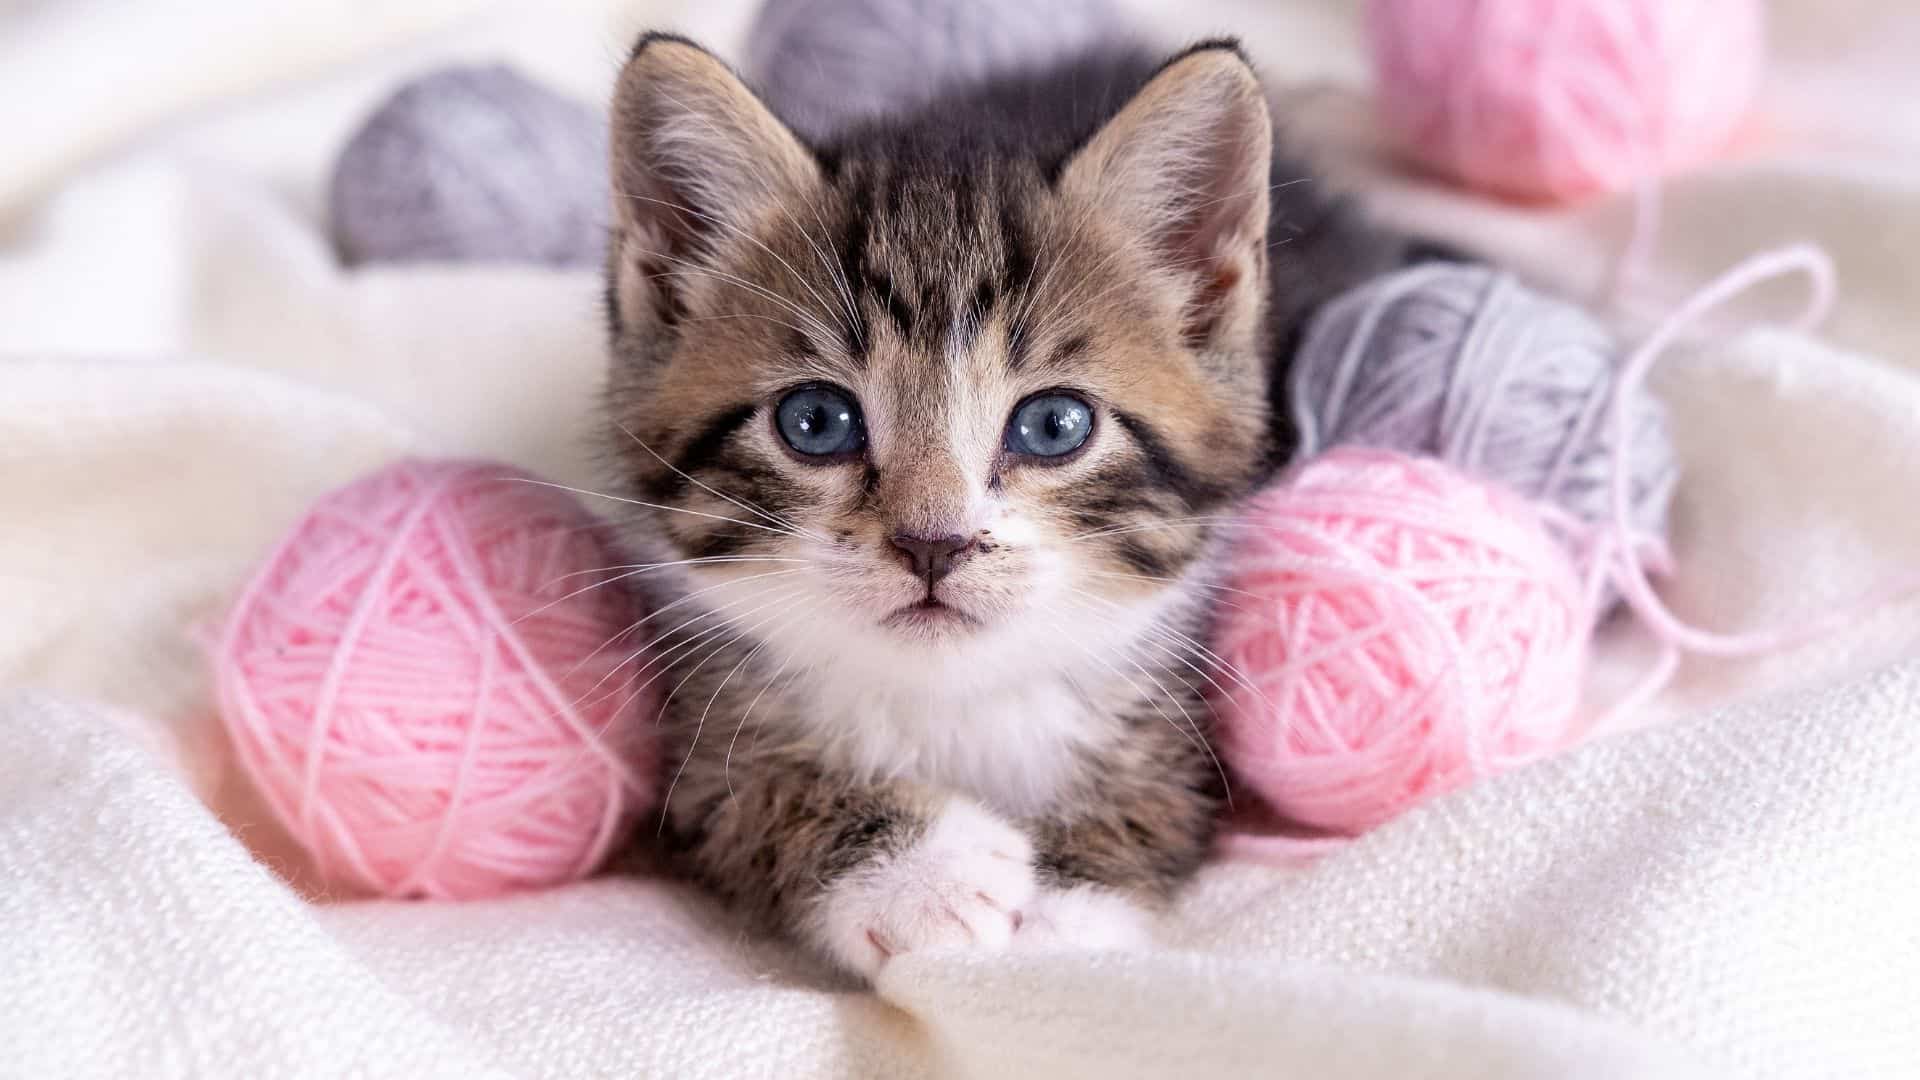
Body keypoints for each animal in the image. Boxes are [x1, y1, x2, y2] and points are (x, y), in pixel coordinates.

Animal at [599, 31, 1413, 976]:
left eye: (1054, 425)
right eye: (815, 422)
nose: (934, 542)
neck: (954, 695)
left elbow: (1158, 794)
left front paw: (1056, 917)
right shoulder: (698, 737)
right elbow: (747, 790)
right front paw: (923, 875)